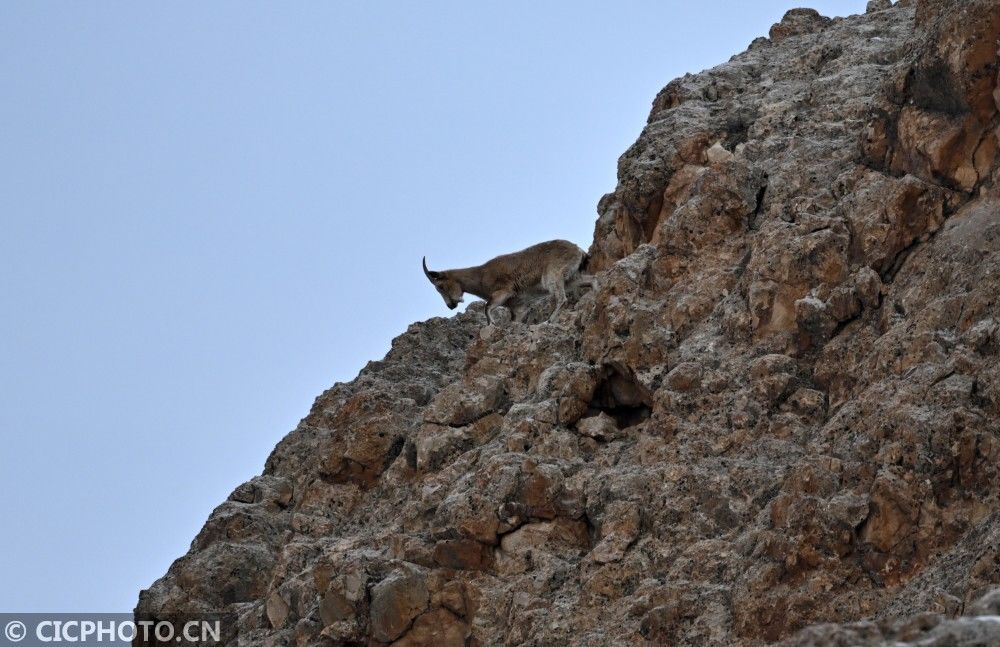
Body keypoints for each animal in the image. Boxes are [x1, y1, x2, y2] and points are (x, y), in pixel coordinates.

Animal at [420, 239, 588, 324]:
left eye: (440, 286)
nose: (451, 305)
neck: (480, 276)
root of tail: (578, 249)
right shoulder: (517, 305)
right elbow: (515, 319)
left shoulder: (504, 291)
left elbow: (487, 308)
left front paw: (492, 325)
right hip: (570, 277)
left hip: (552, 276)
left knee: (561, 298)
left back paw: (549, 320)